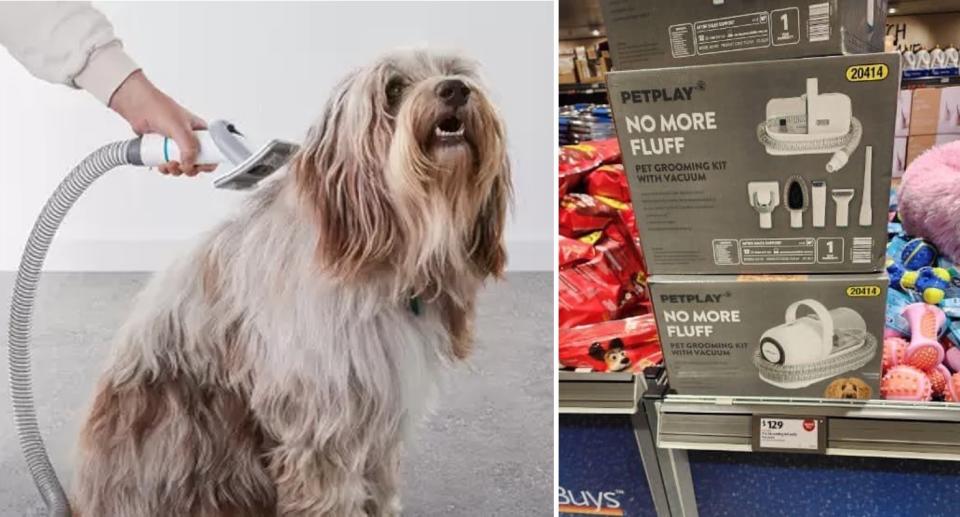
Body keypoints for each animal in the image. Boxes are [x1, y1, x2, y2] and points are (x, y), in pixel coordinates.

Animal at [70, 49, 510, 516]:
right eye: (393, 89)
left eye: (454, 72)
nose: (455, 90)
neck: (381, 254)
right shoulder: (326, 420)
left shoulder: (380, 418)